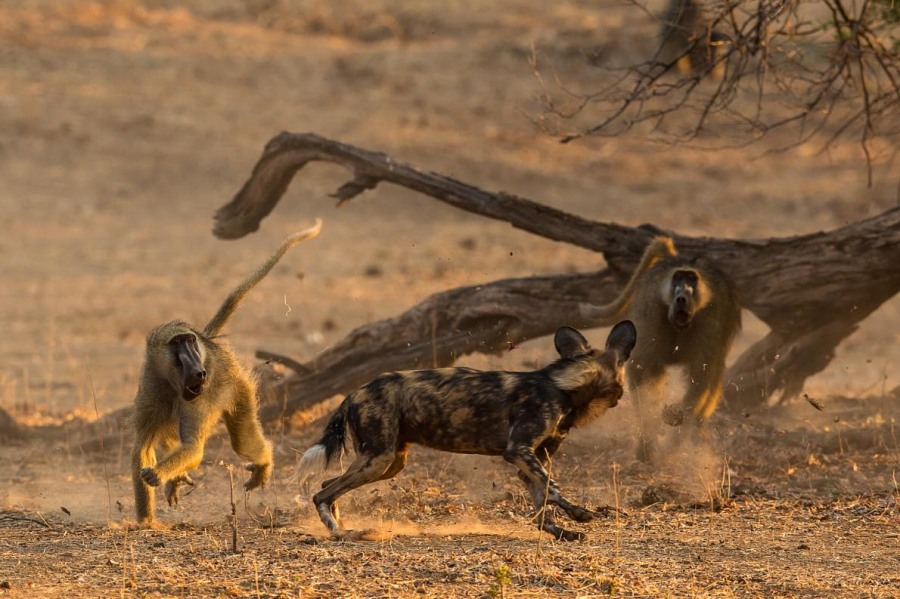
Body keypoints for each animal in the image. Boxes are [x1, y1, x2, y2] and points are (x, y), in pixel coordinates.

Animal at [296, 324, 632, 544]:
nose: (621, 396)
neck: (563, 385)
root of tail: (354, 392)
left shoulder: (532, 460)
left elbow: (542, 502)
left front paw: (562, 532)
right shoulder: (519, 452)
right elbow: (553, 489)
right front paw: (579, 513)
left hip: (388, 462)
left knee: (327, 485)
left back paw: (345, 527)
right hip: (378, 460)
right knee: (321, 493)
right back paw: (339, 532)